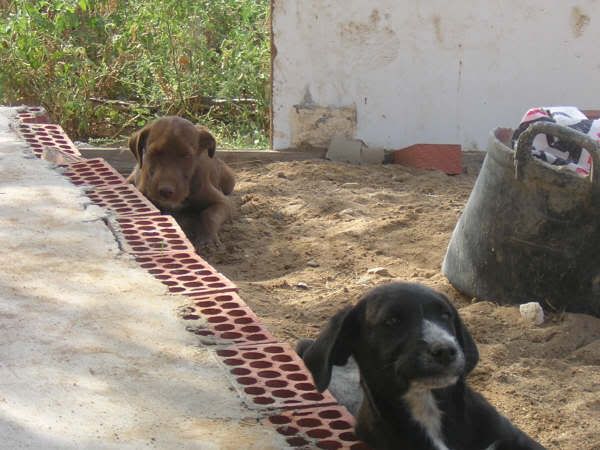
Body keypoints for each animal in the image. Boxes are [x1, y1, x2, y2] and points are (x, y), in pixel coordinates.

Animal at [127, 116, 236, 246]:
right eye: (154, 153)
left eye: (186, 156)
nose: (165, 191)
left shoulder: (223, 202)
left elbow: (209, 215)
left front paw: (208, 239)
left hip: (229, 180)